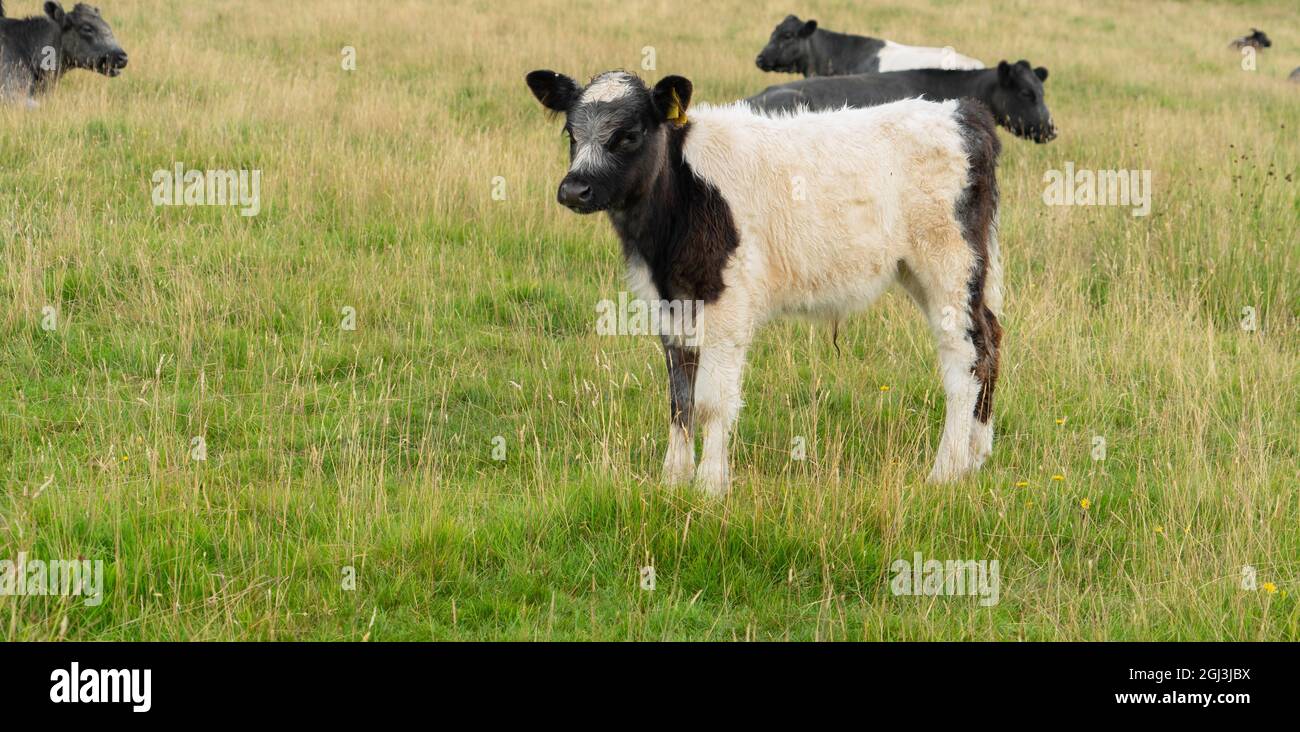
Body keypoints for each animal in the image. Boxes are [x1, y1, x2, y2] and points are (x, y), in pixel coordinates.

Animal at [525, 68, 1003, 496]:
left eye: (629, 134)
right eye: (571, 132)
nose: (574, 189)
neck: (683, 194)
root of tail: (963, 112)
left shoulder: (727, 302)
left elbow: (712, 400)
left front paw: (710, 485)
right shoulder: (671, 304)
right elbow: (680, 397)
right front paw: (673, 478)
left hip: (948, 264)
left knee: (964, 359)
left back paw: (946, 470)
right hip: (935, 272)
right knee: (990, 340)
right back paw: (976, 457)